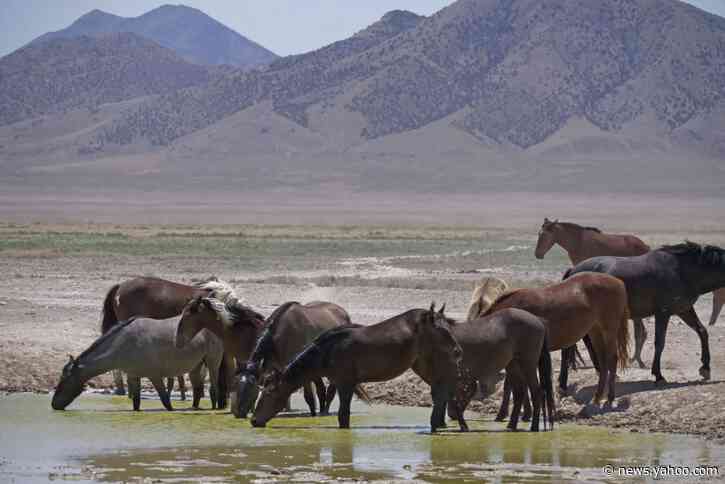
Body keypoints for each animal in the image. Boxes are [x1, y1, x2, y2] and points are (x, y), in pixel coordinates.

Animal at [52, 317, 226, 411]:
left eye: (65, 380)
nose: (54, 404)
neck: (124, 343)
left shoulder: (154, 376)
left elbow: (165, 400)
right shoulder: (133, 376)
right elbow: (136, 402)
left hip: (212, 363)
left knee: (213, 388)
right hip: (196, 366)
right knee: (197, 390)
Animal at [251, 304, 463, 432]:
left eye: (268, 393)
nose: (253, 420)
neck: (328, 350)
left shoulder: (346, 384)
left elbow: (343, 416)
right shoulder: (342, 383)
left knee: (442, 392)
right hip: (423, 367)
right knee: (441, 392)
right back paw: (444, 424)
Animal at [415, 308, 555, 432]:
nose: (452, 415)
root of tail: (538, 319)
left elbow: (445, 399)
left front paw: (447, 424)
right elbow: (442, 399)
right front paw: (441, 424)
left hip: (528, 365)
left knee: (537, 393)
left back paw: (534, 427)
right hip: (514, 366)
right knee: (519, 394)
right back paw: (511, 426)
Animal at [469, 273, 630, 420]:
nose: (482, 389)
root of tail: (617, 281)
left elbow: (514, 385)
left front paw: (508, 413)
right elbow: (517, 384)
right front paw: (523, 412)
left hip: (608, 330)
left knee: (612, 360)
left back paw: (609, 397)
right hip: (595, 331)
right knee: (603, 363)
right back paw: (598, 397)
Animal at [565, 241, 725, 385]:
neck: (682, 271)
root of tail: (573, 271)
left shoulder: (684, 310)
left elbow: (702, 331)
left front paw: (705, 368)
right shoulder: (663, 313)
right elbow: (660, 342)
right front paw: (658, 375)